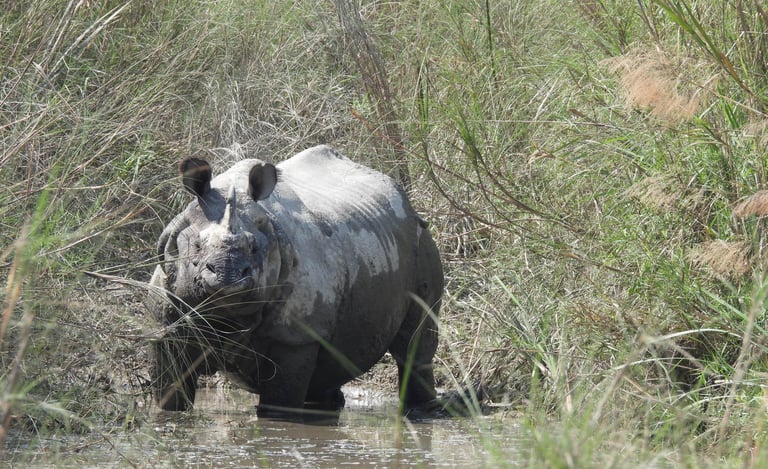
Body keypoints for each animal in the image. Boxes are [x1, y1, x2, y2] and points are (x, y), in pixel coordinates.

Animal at [148, 145, 443, 416]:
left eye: (255, 248)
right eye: (196, 247)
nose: (226, 277)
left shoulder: (295, 335)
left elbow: (280, 407)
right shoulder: (167, 321)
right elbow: (170, 395)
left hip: (420, 241)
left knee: (414, 343)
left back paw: (422, 411)